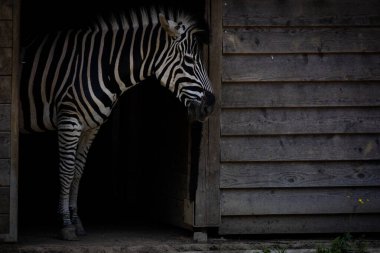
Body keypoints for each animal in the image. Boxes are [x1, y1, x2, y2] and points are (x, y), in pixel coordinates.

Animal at [20, 7, 215, 240]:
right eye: (188, 61)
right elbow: (66, 171)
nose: (210, 104)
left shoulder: (90, 127)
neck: (103, 68)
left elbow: (77, 172)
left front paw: (76, 221)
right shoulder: (69, 120)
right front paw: (65, 224)